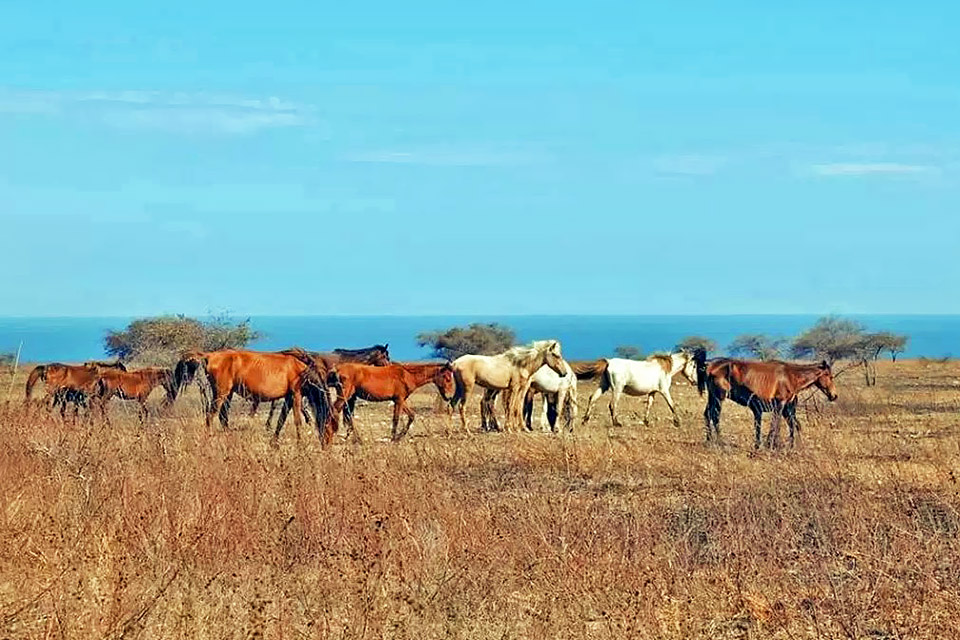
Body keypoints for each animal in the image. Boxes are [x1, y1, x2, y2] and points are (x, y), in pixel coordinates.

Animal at [174, 349, 329, 442]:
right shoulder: (296, 394)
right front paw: (300, 442)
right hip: (221, 393)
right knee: (211, 415)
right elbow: (298, 421)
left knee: (222, 416)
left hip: (228, 394)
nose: (326, 444)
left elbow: (281, 420)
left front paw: (274, 441)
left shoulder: (289, 398)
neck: (304, 369)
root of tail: (211, 355)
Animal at [323, 362, 455, 444]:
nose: (448, 397)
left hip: (348, 398)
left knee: (347, 417)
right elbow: (396, 419)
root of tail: (337, 369)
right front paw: (394, 438)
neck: (407, 375)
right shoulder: (399, 400)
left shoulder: (400, 400)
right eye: (447, 378)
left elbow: (411, 416)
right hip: (344, 396)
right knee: (334, 411)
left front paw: (399, 437)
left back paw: (357, 439)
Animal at [693, 349, 838, 448]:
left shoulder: (784, 408)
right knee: (715, 416)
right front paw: (771, 444)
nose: (834, 395)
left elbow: (786, 425)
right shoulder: (780, 405)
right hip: (719, 398)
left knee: (707, 414)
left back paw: (709, 440)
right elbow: (776, 424)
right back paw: (721, 442)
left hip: (712, 398)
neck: (789, 375)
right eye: (829, 376)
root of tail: (709, 365)